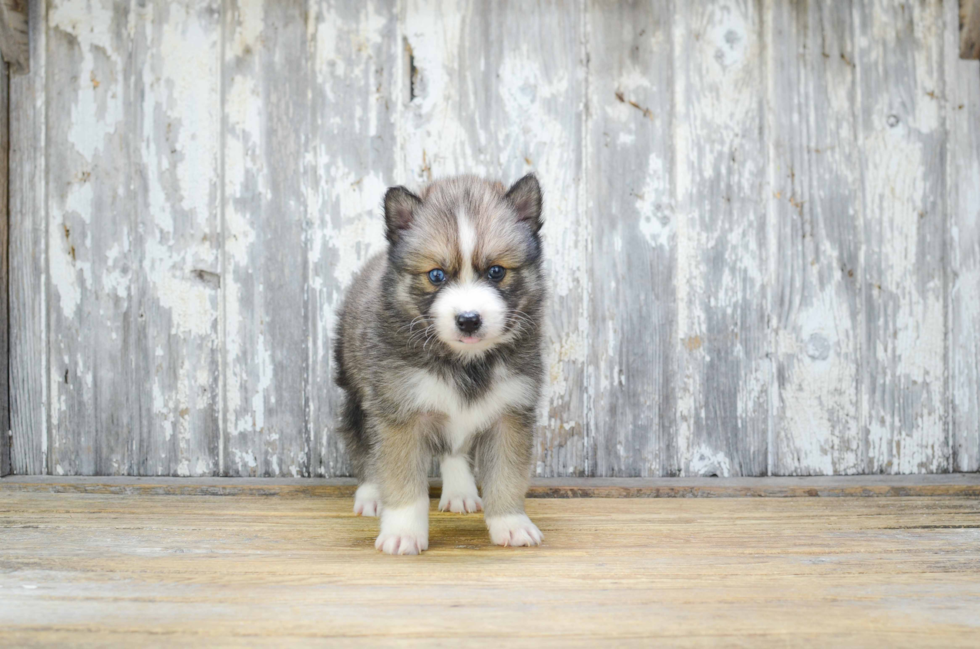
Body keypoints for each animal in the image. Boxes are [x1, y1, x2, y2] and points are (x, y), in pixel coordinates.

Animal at [334, 175, 552, 556]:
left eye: (496, 271)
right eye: (436, 275)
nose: (468, 320)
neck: (464, 362)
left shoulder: (511, 412)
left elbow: (506, 475)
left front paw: (511, 523)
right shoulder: (399, 412)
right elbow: (402, 477)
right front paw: (403, 532)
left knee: (454, 448)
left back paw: (460, 491)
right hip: (358, 395)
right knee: (364, 446)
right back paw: (371, 494)